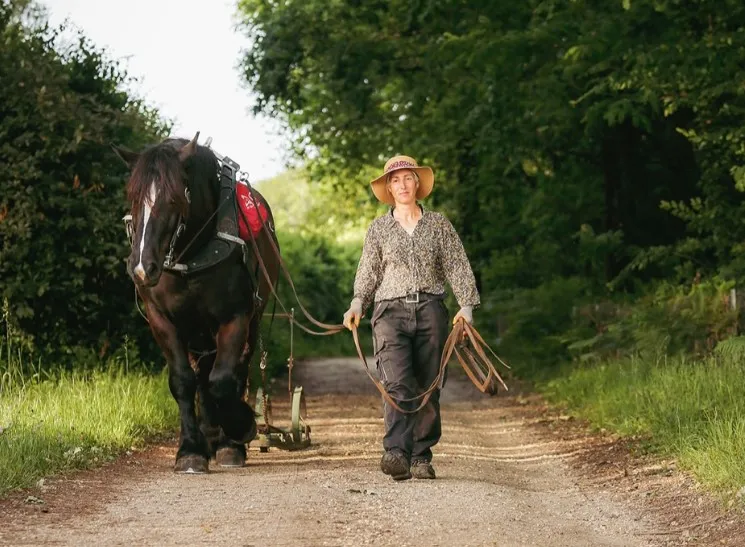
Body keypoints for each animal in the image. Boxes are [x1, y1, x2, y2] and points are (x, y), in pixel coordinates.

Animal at [113, 135, 280, 474]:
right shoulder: (162, 321)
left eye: (175, 198)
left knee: (234, 371)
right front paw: (190, 450)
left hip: (249, 322)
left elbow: (224, 380)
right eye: (133, 196)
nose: (142, 267)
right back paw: (210, 435)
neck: (191, 255)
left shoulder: (235, 317)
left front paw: (238, 432)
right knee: (201, 376)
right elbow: (183, 381)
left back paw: (224, 438)